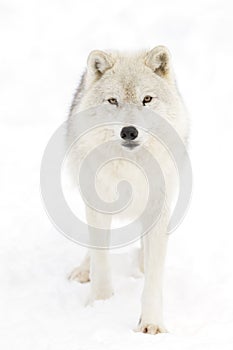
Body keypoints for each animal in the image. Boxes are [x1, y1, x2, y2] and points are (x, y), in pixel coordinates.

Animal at [66, 45, 188, 334]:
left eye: (147, 99)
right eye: (113, 101)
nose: (129, 131)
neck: (130, 168)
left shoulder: (157, 206)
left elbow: (154, 277)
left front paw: (152, 324)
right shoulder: (97, 204)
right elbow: (101, 259)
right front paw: (99, 304)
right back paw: (83, 270)